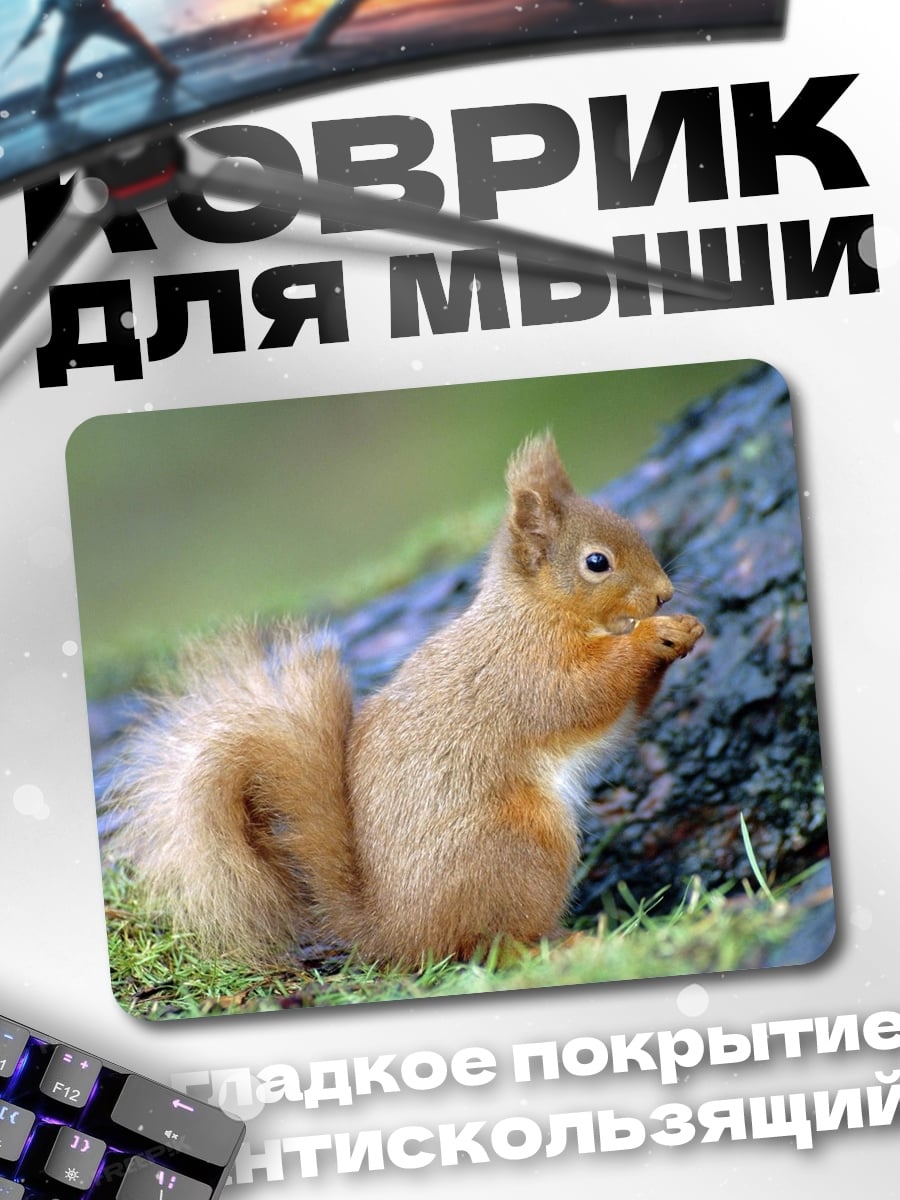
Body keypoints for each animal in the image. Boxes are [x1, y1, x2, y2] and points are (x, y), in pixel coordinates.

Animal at [104, 433, 704, 966]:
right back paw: (564, 944)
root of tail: (397, 929)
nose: (663, 595)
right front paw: (653, 637)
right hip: (521, 844)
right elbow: (585, 694)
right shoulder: (527, 672)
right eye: (596, 562)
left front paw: (686, 631)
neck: (537, 610)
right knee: (488, 945)